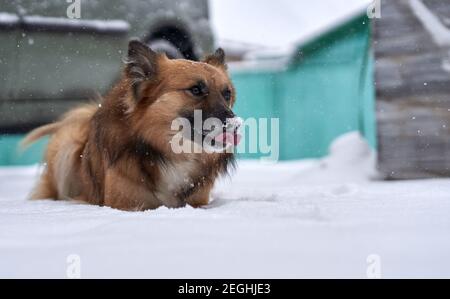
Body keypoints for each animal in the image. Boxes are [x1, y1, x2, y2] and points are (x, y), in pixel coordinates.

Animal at [23, 39, 243, 212]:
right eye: (196, 89)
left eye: (226, 94)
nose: (235, 125)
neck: (173, 153)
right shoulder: (126, 203)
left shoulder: (198, 201)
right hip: (66, 146)